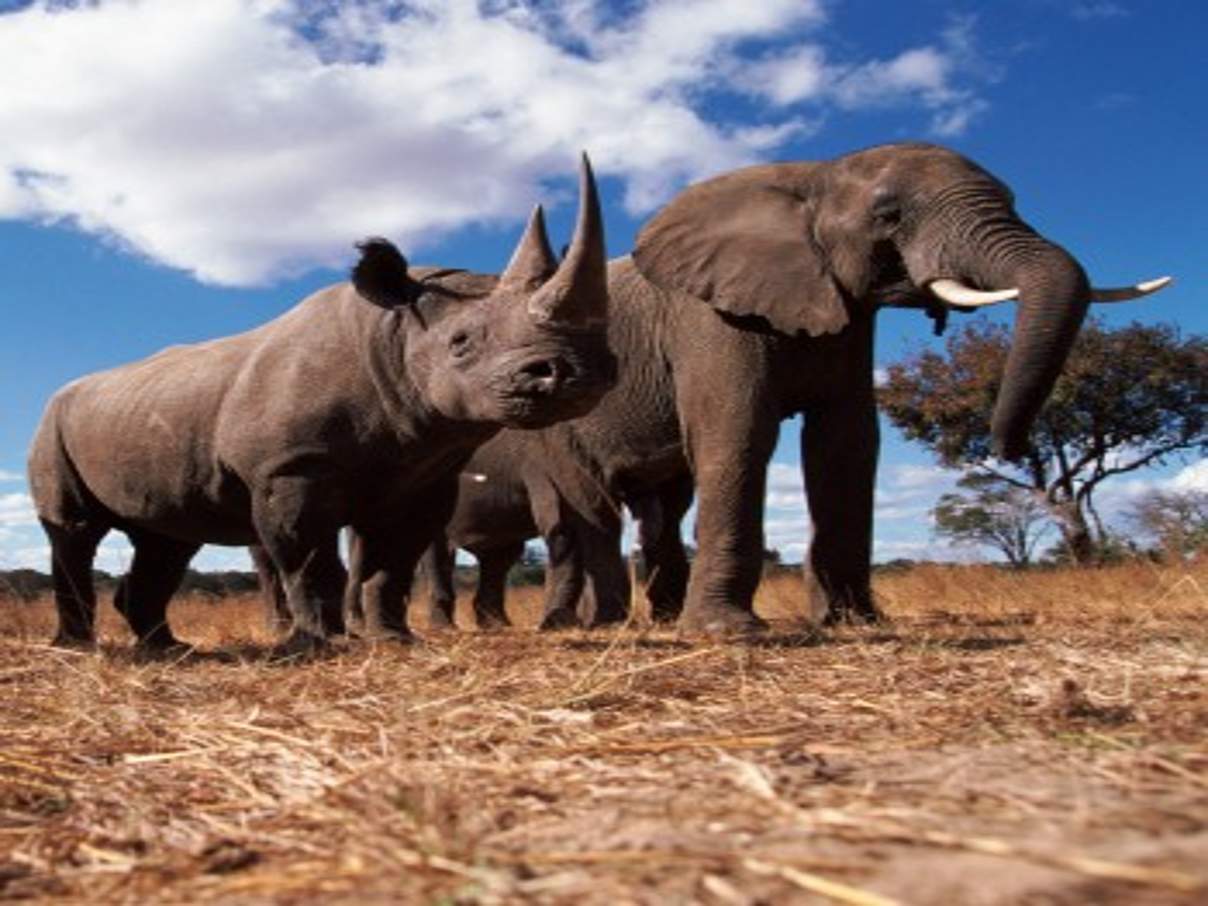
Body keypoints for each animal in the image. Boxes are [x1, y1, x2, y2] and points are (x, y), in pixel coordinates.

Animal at [28, 154, 618, 652]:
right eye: (461, 342)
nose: (576, 373)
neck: (393, 333)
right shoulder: (291, 466)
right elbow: (311, 560)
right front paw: (323, 644)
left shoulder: (420, 473)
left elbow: (392, 564)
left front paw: (395, 640)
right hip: (53, 422)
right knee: (75, 530)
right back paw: (77, 647)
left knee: (167, 537)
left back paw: (165, 648)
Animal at [343, 141, 1169, 637]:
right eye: (889, 214)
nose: (1009, 444)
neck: (812, 177)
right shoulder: (712, 318)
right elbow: (738, 430)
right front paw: (727, 636)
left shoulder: (846, 316)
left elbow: (846, 445)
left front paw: (854, 624)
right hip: (550, 428)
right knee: (587, 514)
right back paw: (606, 626)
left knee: (657, 507)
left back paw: (651, 618)